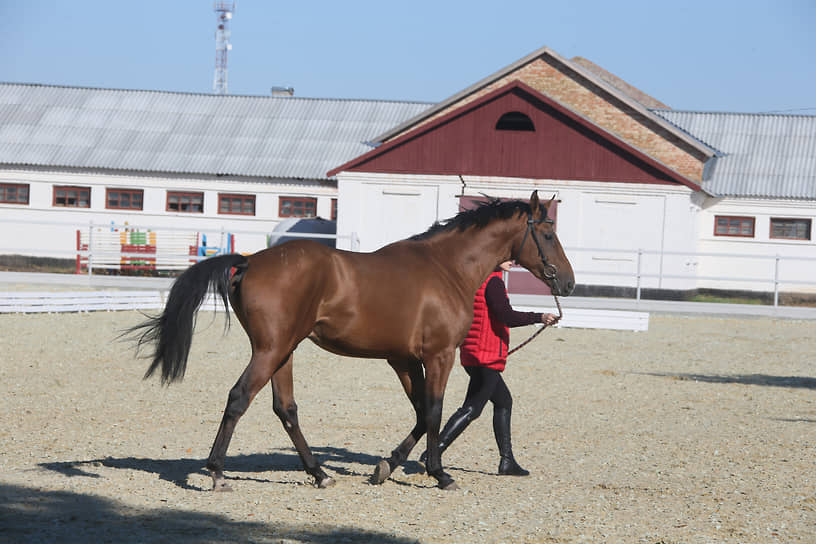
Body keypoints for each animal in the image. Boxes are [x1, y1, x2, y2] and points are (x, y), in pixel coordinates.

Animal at [129, 190, 572, 488]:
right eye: (548, 235)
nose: (567, 283)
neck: (446, 268)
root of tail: (249, 261)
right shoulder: (439, 356)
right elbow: (433, 411)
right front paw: (439, 473)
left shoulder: (403, 359)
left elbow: (420, 413)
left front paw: (388, 466)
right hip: (271, 350)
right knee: (239, 398)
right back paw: (218, 473)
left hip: (284, 351)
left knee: (285, 409)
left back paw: (319, 473)